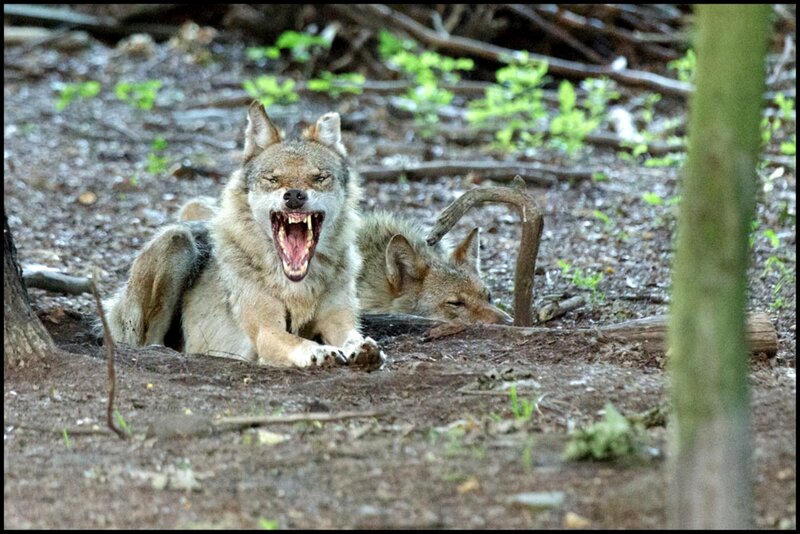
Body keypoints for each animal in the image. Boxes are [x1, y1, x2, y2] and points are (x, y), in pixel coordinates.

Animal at [105, 102, 383, 368]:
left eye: (320, 177)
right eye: (272, 179)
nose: (294, 195)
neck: (297, 286)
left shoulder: (338, 321)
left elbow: (353, 335)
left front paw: (363, 348)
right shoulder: (266, 330)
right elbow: (296, 341)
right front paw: (319, 351)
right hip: (175, 240)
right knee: (144, 341)